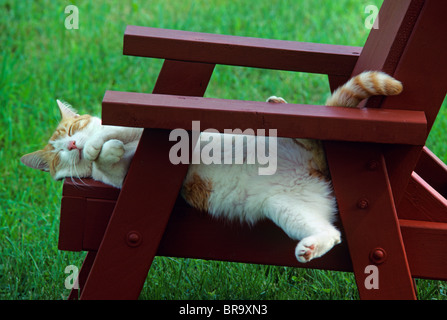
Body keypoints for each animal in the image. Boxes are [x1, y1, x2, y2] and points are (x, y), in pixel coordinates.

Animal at [21, 72, 406, 262]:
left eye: (71, 130)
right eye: (58, 155)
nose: (72, 146)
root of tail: (315, 166)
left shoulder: (144, 130)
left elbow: (108, 133)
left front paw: (100, 143)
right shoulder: (124, 177)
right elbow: (109, 161)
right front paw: (106, 152)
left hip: (277, 138)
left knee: (304, 134)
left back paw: (279, 103)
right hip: (288, 209)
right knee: (332, 234)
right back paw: (310, 248)